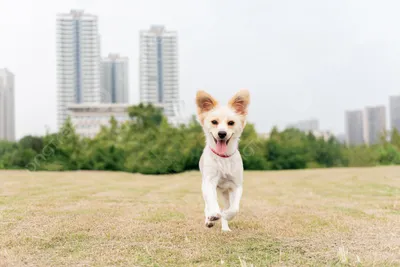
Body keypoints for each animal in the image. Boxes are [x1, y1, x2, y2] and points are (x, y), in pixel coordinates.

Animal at [196, 89, 250, 231]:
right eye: (214, 122)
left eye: (231, 123)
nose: (222, 133)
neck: (223, 157)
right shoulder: (209, 182)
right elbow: (212, 202)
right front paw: (213, 215)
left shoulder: (236, 185)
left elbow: (234, 208)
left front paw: (226, 215)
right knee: (207, 204)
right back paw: (209, 219)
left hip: (225, 192)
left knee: (227, 206)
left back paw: (225, 227)